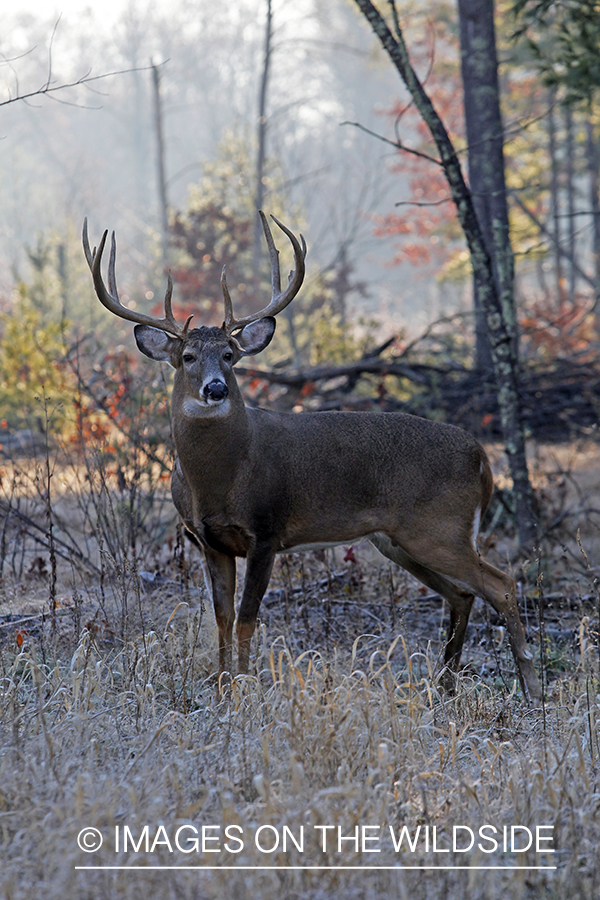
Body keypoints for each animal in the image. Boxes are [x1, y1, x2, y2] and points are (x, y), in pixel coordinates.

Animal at [84, 213, 544, 704]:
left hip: (440, 527)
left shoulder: (266, 530)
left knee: (502, 584)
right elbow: (222, 619)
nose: (216, 388)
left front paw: (243, 688)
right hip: (398, 539)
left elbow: (246, 618)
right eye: (187, 356)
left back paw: (531, 689)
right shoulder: (208, 540)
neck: (219, 478)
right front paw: (222, 686)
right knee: (462, 594)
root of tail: (482, 458)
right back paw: (444, 685)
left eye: (229, 355)